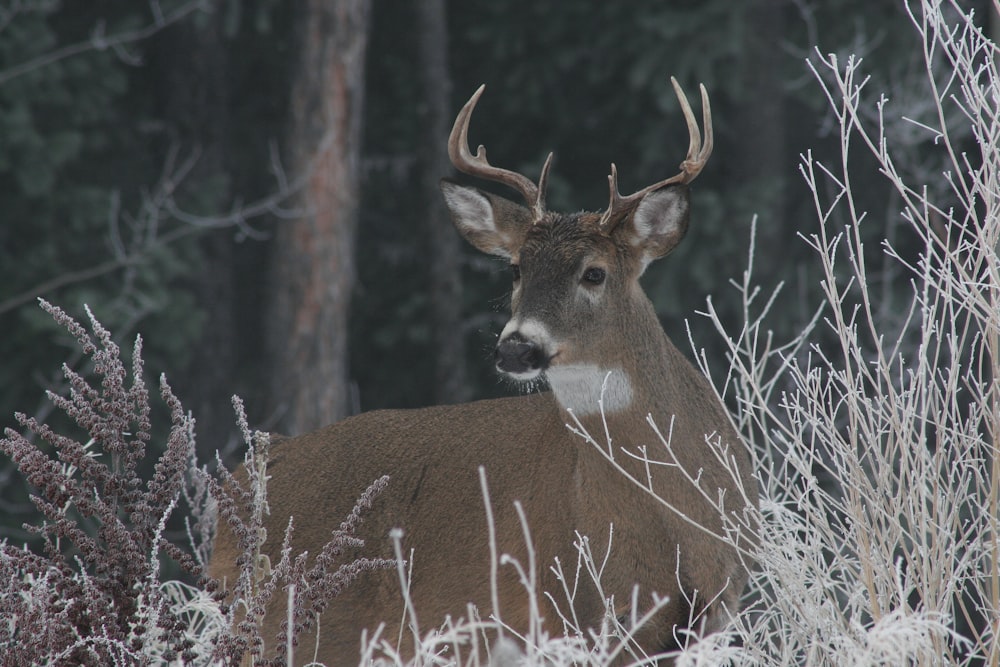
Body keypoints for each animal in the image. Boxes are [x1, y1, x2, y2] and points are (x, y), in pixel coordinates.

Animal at [213, 78, 756, 664]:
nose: (516, 349)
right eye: (516, 268)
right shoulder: (583, 606)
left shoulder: (714, 605)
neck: (669, 513)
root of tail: (242, 479)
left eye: (594, 273)